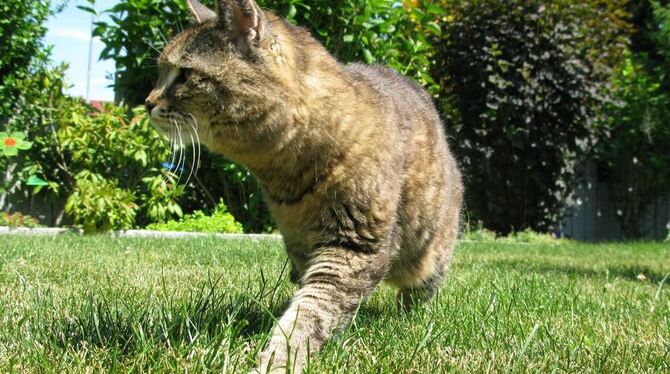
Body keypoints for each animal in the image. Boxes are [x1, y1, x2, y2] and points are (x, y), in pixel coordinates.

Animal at [145, 1, 464, 372]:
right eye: (160, 73)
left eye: (183, 74)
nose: (148, 102)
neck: (284, 177)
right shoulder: (300, 246)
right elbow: (306, 296)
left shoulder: (354, 245)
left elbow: (312, 312)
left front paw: (279, 358)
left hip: (431, 252)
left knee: (419, 290)